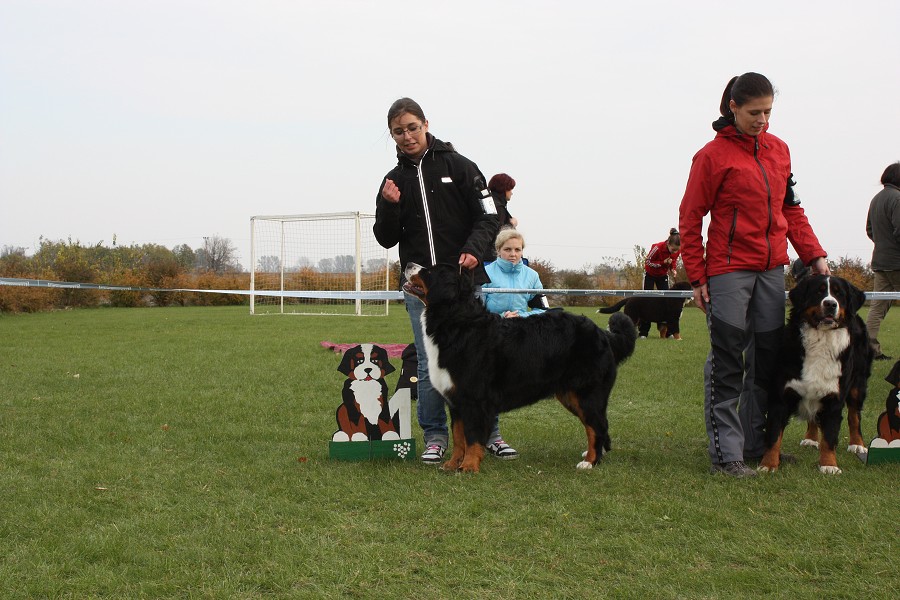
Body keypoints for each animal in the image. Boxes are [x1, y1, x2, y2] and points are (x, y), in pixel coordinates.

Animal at [404, 262, 636, 474]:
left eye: (430, 271)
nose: (408, 264)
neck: (456, 322)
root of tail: (603, 334)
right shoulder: (456, 401)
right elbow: (459, 437)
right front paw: (452, 464)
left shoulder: (473, 400)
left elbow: (472, 438)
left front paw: (468, 467)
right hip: (571, 395)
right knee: (598, 426)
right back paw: (593, 455)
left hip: (586, 393)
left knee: (597, 426)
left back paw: (590, 462)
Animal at [760, 274, 872, 476]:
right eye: (818, 292)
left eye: (838, 293)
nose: (830, 304)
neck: (821, 339)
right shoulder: (780, 397)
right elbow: (773, 435)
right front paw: (769, 464)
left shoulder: (834, 398)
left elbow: (829, 436)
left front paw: (829, 465)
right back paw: (811, 439)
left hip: (857, 385)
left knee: (854, 415)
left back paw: (857, 444)